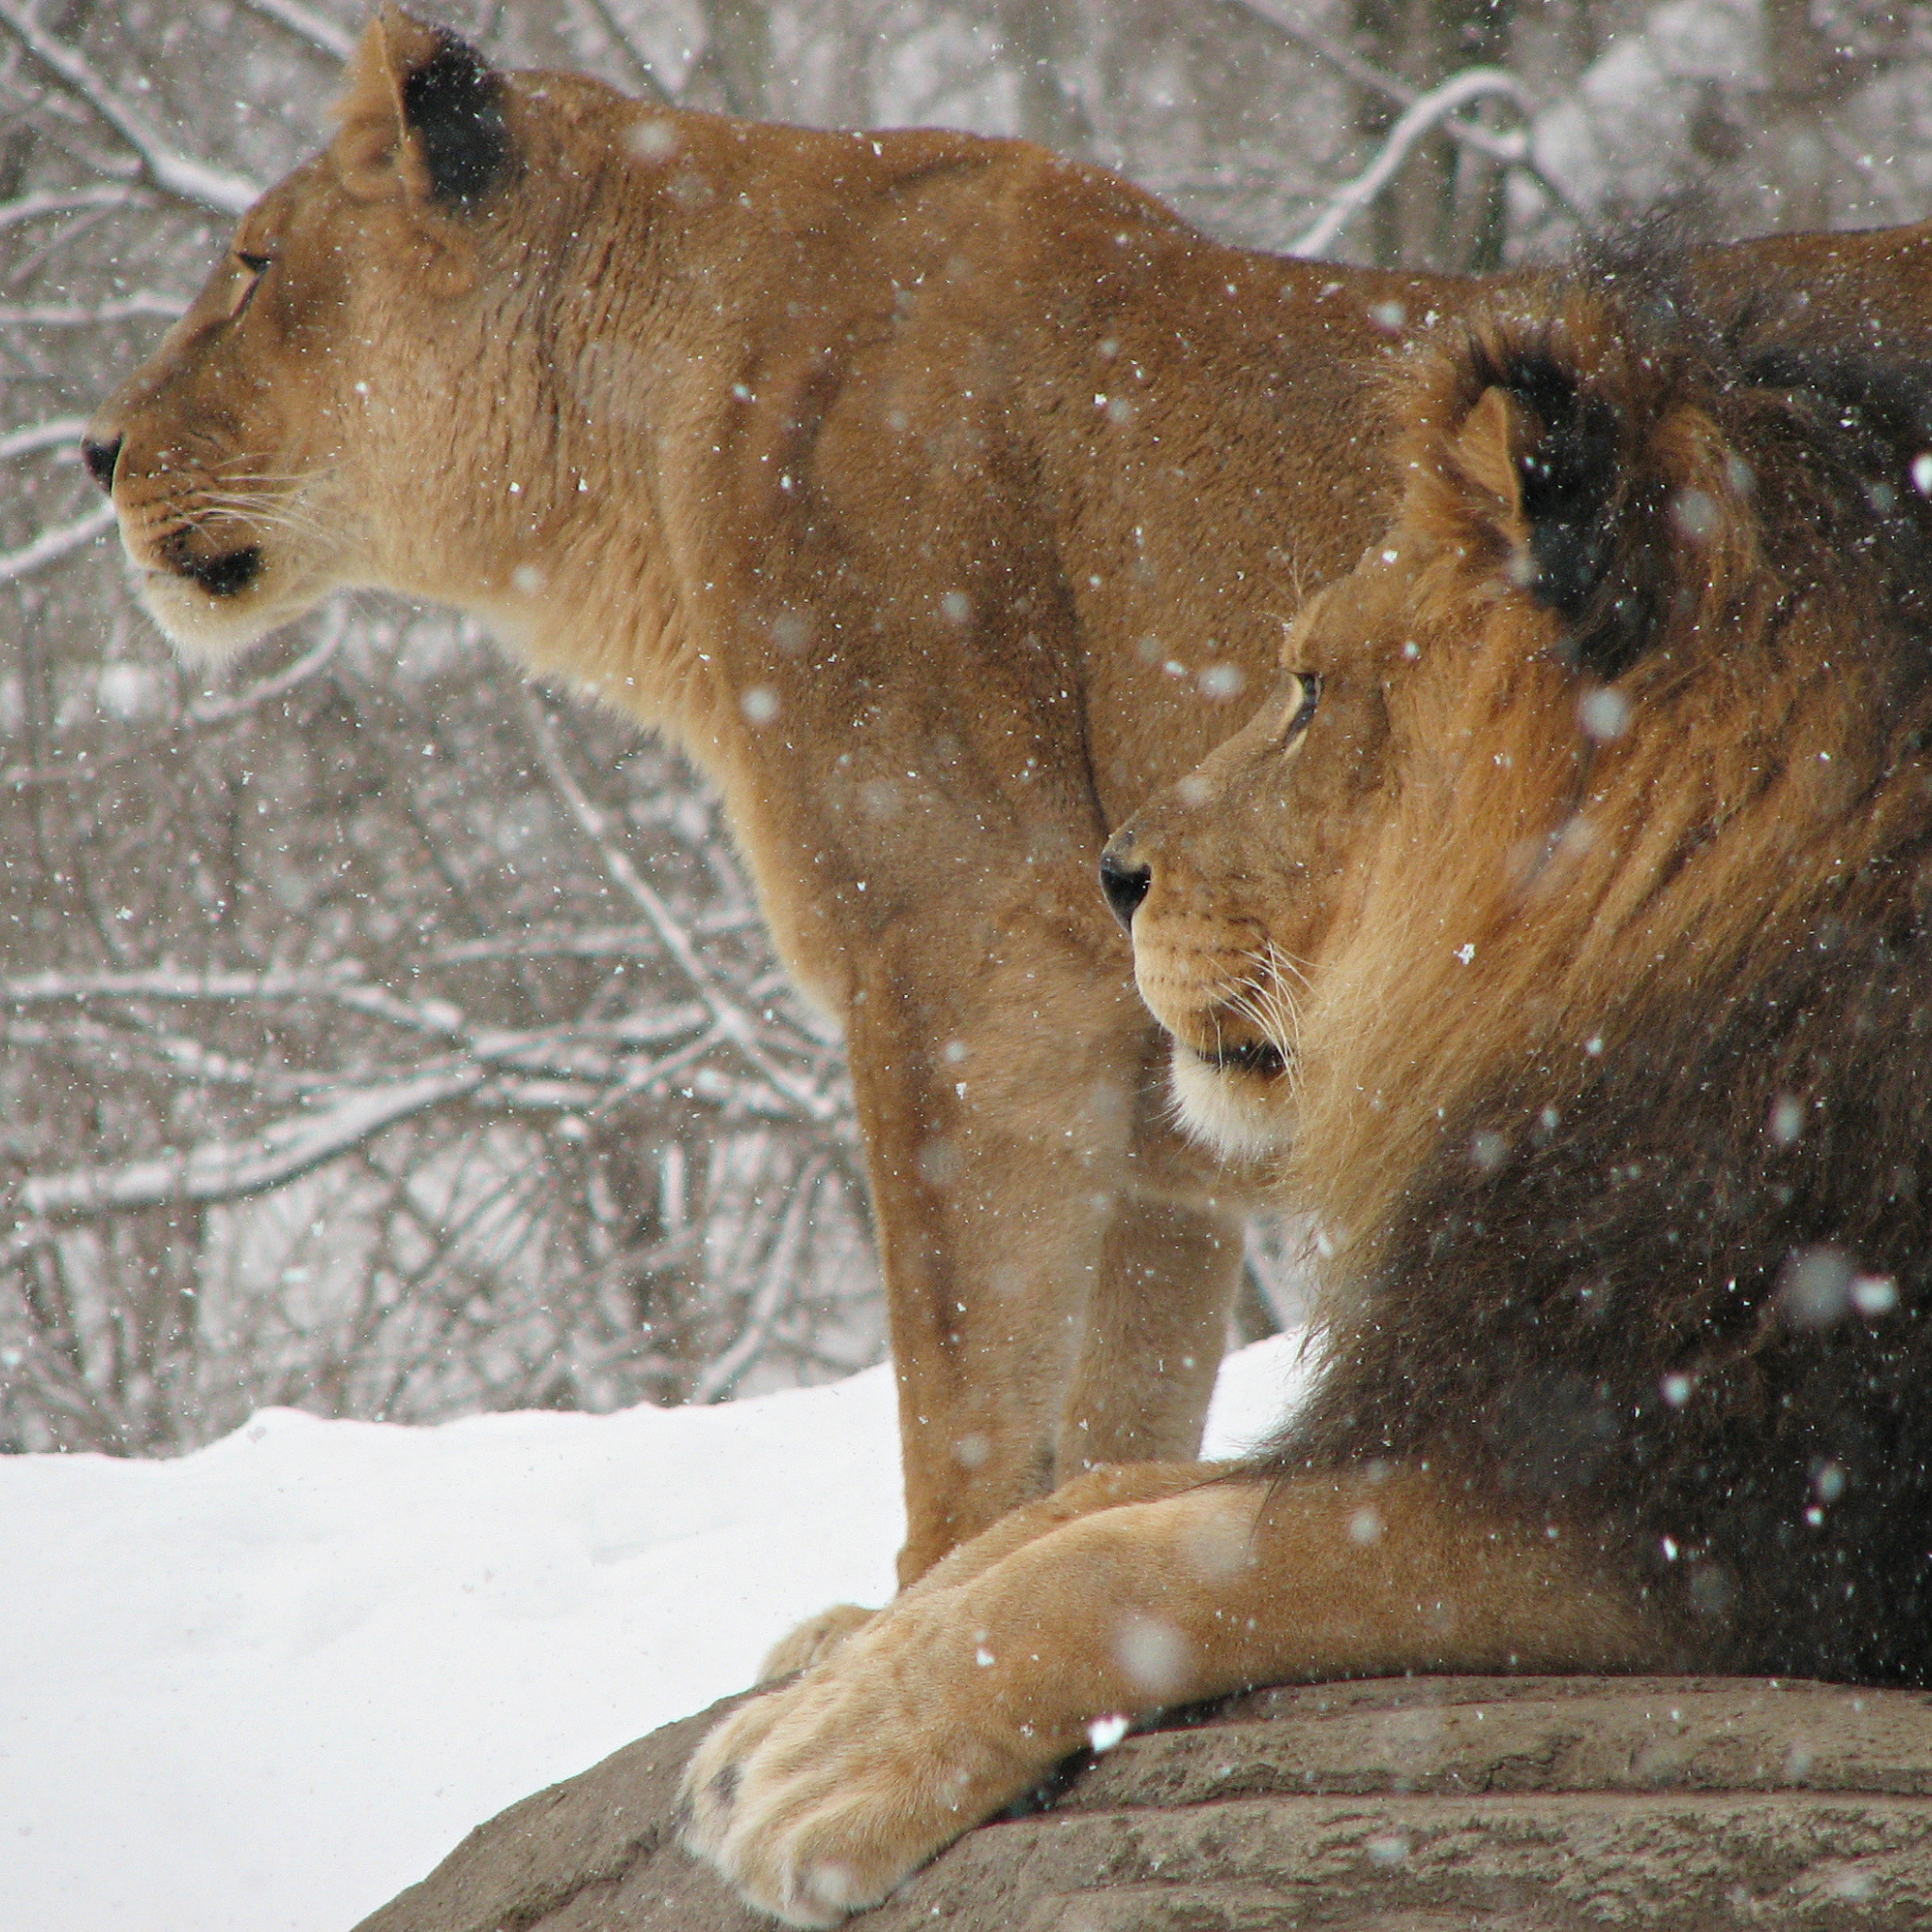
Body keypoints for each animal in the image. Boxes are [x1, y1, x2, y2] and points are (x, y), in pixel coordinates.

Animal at [87, 8, 1932, 1591]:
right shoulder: (1168, 1112)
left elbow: (963, 1418)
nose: (95, 451)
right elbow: (1108, 1424)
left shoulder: (972, 960)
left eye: (251, 267)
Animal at [675, 279, 1932, 1924]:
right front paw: (817, 1676)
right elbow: (1098, 1495)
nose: (1114, 872)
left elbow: (1160, 1562)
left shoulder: (1726, 1509)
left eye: (1313, 691)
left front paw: (831, 1758)